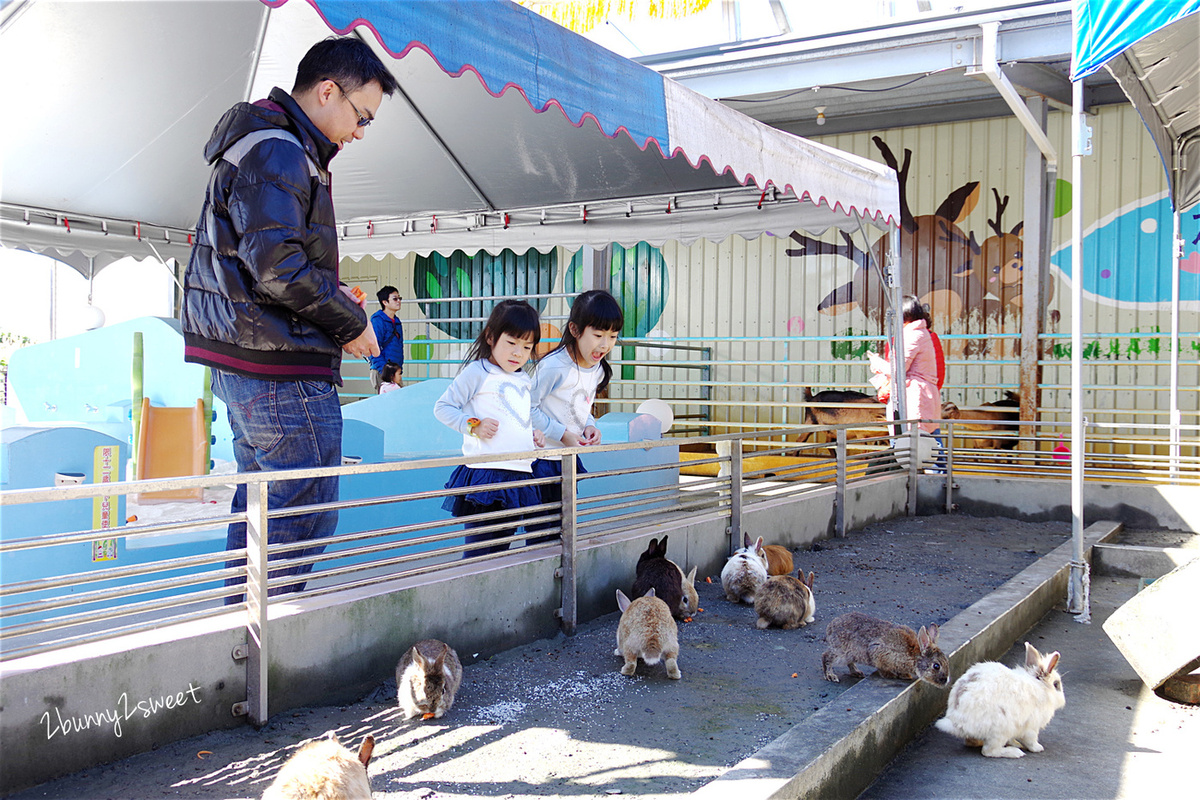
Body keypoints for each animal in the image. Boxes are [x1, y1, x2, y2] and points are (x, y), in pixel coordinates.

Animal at [820, 609, 950, 686]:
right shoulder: (878, 653)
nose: (945, 681)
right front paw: (892, 675)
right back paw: (830, 675)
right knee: (826, 657)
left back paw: (857, 672)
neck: (914, 656)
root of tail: (830, 626)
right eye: (936, 666)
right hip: (840, 652)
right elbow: (882, 669)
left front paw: (905, 675)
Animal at [931, 642, 1065, 762]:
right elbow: (1031, 740)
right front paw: (1038, 748)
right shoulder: (1031, 726)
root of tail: (957, 722)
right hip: (1001, 730)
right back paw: (1015, 752)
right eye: (1056, 684)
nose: (1063, 701)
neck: (1041, 686)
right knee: (989, 751)